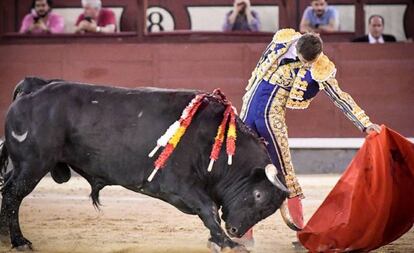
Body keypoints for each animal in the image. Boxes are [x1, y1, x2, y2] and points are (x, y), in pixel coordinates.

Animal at [0, 77, 298, 251]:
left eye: (268, 209)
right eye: (258, 196)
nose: (235, 230)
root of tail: (33, 87)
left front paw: (221, 240)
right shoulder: (177, 184)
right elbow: (209, 209)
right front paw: (226, 243)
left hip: (25, 166)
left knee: (8, 193)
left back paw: (5, 236)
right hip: (32, 165)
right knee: (13, 195)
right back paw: (19, 241)